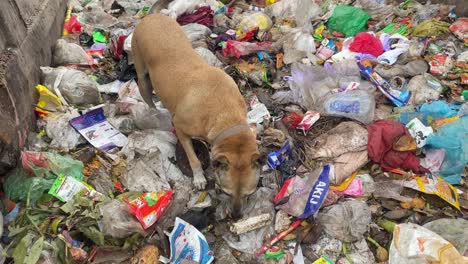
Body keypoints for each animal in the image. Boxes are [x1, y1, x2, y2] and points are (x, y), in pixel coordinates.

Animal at [132, 13, 260, 219]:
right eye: (226, 193)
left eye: (249, 194)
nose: (236, 216)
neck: (226, 115)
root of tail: (152, 15)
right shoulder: (181, 129)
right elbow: (193, 158)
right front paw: (199, 177)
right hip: (142, 74)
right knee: (148, 96)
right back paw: (156, 112)